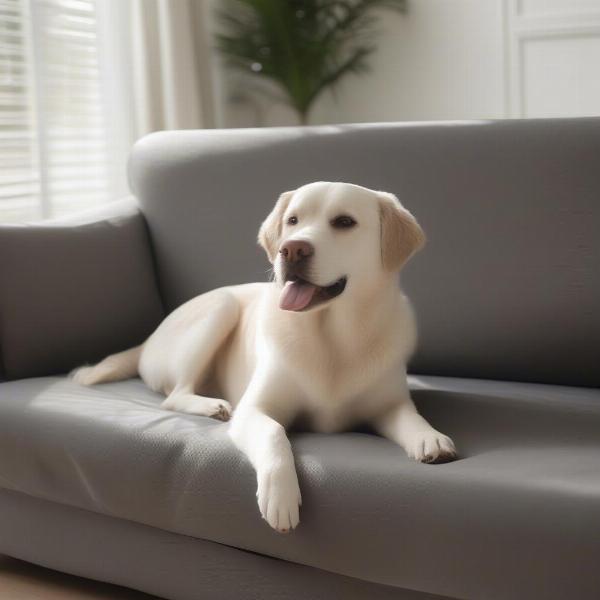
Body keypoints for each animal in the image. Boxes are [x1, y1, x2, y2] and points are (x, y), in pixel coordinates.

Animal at [76, 183, 460, 536]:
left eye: (344, 222)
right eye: (293, 220)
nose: (292, 249)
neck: (332, 337)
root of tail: (146, 341)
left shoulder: (387, 405)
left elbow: (410, 416)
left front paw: (430, 438)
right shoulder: (254, 409)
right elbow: (275, 433)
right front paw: (280, 497)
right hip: (222, 307)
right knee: (174, 396)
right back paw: (211, 405)